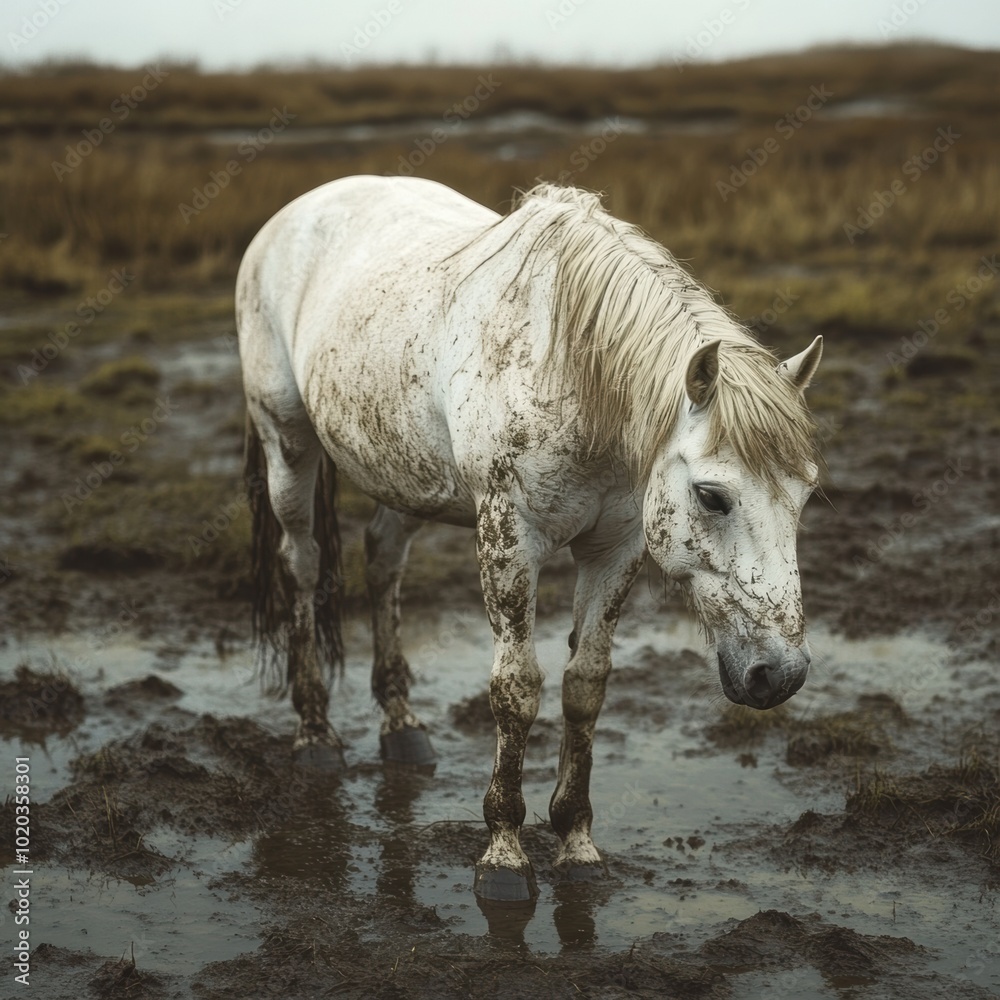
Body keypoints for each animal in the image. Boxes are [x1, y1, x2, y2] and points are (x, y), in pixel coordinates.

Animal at [236, 175, 823, 903]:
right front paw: (505, 853)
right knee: (303, 565)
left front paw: (576, 841)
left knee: (383, 561)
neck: (573, 372)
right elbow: (516, 689)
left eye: (805, 494)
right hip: (287, 443)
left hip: (403, 470)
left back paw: (402, 728)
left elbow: (585, 684)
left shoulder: (616, 548)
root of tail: (297, 210)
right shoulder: (510, 540)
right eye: (712, 496)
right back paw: (315, 733)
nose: (780, 674)